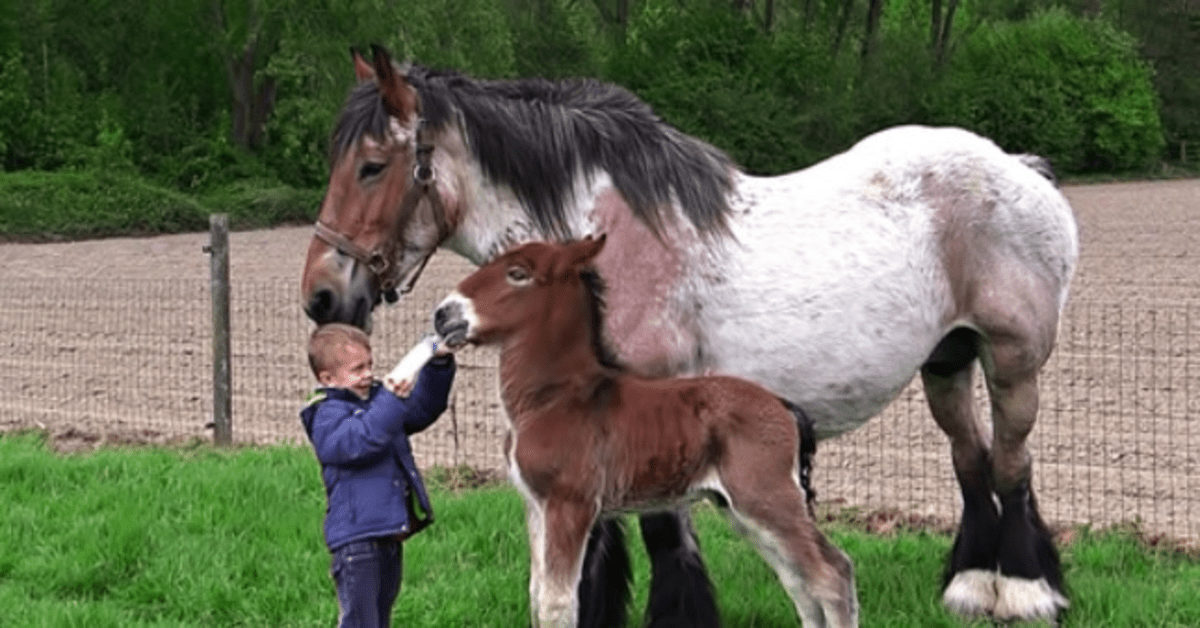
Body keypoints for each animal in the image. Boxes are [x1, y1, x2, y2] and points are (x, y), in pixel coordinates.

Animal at [436, 237, 859, 628]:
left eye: (517, 273)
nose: (442, 315)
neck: (554, 398)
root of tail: (783, 405)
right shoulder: (535, 504)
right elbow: (537, 596)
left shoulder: (570, 504)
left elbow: (558, 602)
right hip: (741, 507)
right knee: (799, 581)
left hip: (766, 496)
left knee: (831, 574)